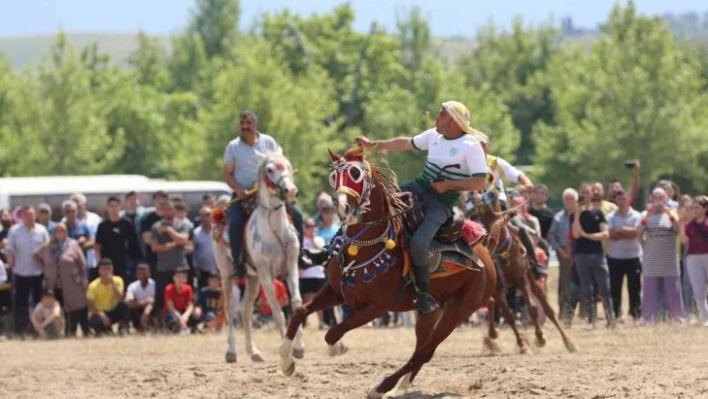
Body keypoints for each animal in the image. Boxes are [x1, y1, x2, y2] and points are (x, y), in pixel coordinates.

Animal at [214, 153, 306, 366]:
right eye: (270, 170)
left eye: (288, 165)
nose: (291, 191)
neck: (275, 229)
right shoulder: (266, 274)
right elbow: (277, 311)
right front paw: (286, 353)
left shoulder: (291, 268)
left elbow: (296, 304)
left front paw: (298, 348)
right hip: (227, 275)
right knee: (230, 310)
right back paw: (231, 352)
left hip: (252, 279)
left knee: (246, 310)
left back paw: (254, 352)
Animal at [280, 148, 496, 398]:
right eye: (334, 176)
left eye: (355, 174)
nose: (343, 208)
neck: (364, 246)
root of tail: (486, 257)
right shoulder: (336, 291)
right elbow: (300, 312)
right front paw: (286, 361)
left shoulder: (376, 308)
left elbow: (332, 333)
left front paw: (339, 347)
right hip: (431, 312)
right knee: (421, 349)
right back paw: (402, 386)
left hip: (459, 310)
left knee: (425, 352)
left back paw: (382, 387)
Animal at [468, 191, 580, 356]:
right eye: (479, 219)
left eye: (495, 216)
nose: (488, 243)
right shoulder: (497, 288)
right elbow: (509, 315)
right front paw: (523, 345)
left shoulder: (522, 279)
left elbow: (533, 308)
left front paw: (540, 338)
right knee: (491, 305)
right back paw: (493, 335)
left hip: (533, 280)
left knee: (548, 310)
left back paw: (569, 343)